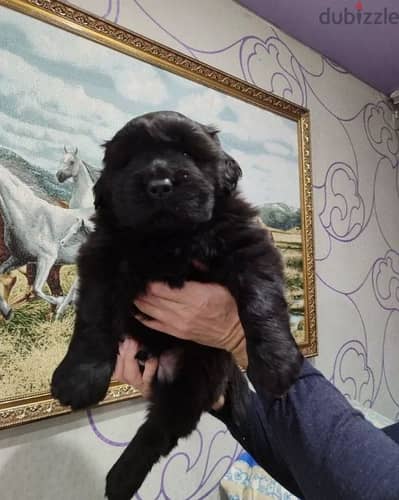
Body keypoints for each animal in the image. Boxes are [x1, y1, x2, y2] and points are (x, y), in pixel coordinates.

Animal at [0, 165, 93, 320]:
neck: (28, 214)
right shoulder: (20, 258)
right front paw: (7, 312)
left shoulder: (47, 259)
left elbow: (36, 290)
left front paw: (60, 302)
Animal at [52, 111, 304, 498]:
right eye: (131, 158)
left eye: (188, 152)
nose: (160, 184)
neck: (170, 239)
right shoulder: (103, 254)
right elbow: (95, 315)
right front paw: (79, 378)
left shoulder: (247, 245)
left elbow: (262, 302)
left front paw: (277, 363)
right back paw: (121, 478)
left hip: (196, 375)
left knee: (162, 429)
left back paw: (121, 477)